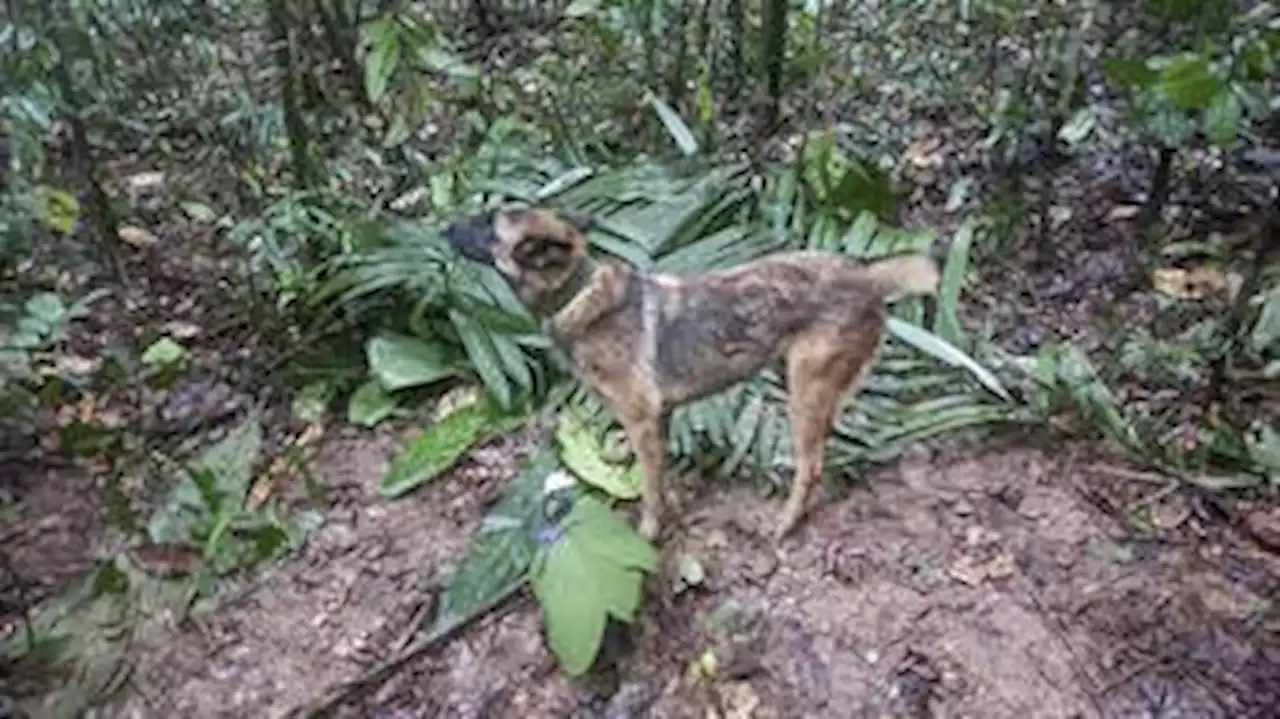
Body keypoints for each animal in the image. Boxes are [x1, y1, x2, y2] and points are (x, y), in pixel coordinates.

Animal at [442, 204, 942, 539]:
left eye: (487, 225)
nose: (444, 226)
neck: (577, 292)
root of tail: (866, 276)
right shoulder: (659, 417)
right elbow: (657, 473)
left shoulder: (642, 417)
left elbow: (649, 485)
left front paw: (649, 531)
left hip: (804, 390)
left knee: (811, 465)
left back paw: (785, 522)